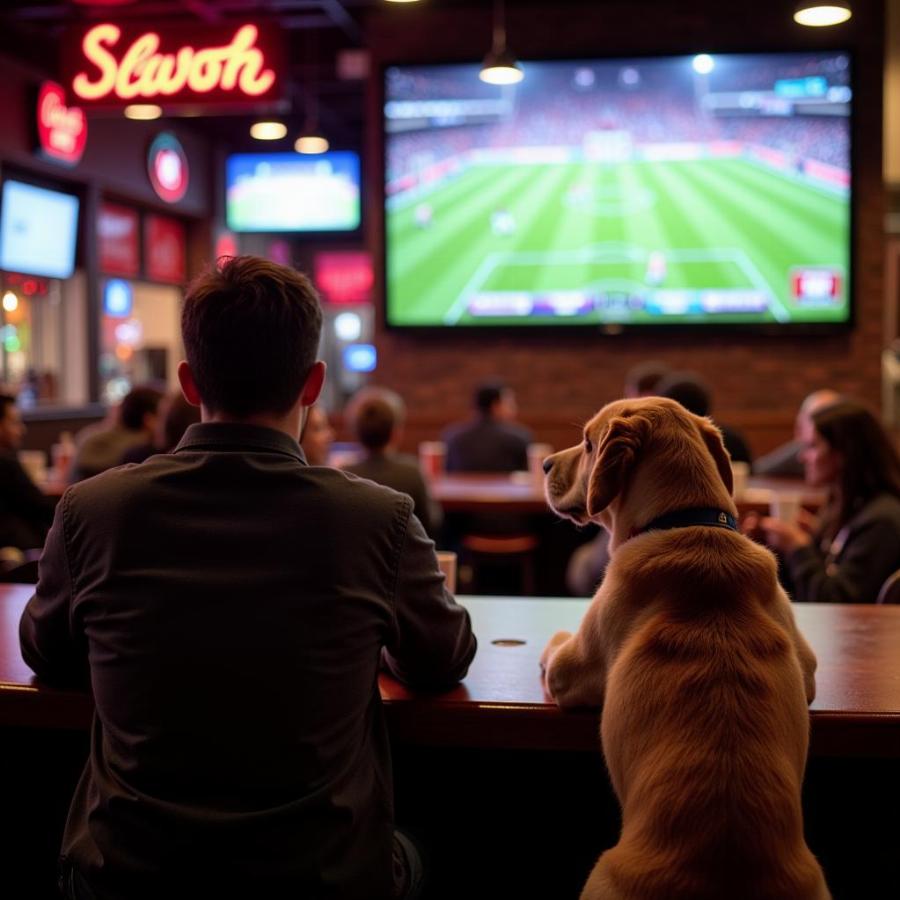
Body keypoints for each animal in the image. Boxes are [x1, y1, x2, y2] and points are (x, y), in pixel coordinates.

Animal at [540, 400, 828, 900]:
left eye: (589, 444)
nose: (543, 464)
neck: (685, 520)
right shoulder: (806, 665)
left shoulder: (570, 670)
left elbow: (555, 650)